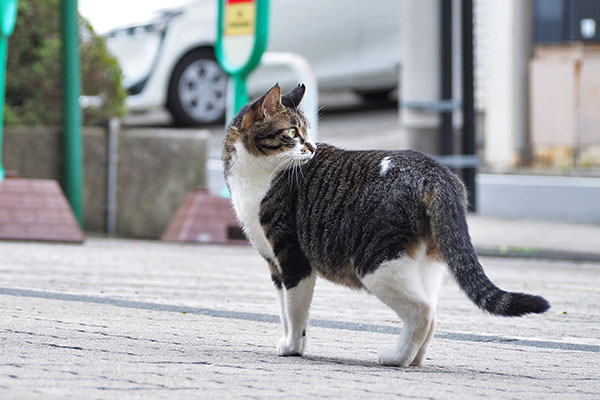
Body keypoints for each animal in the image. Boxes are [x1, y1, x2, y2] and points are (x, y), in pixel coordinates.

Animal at [223, 83, 552, 366]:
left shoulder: (292, 258)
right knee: (433, 312)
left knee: (423, 311)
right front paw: (291, 343)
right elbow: (283, 309)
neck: (256, 174)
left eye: (305, 131)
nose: (313, 148)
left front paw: (293, 347)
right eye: (293, 132)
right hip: (427, 262)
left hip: (377, 263)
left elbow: (294, 312)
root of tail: (435, 171)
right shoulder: (274, 263)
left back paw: (397, 358)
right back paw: (415, 359)